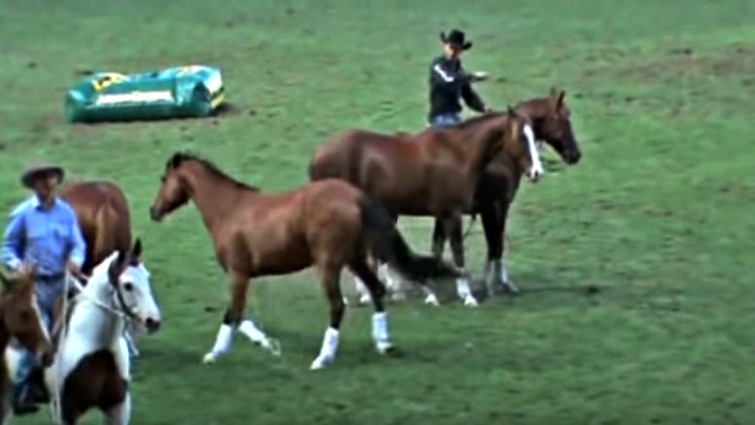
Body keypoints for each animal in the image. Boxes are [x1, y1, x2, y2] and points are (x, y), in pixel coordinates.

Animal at [44, 239, 160, 425]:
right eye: (128, 285)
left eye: (147, 277)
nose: (153, 321)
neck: (100, 348)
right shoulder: (67, 411)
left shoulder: (118, 407)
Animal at [148, 152, 460, 370]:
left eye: (164, 180)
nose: (154, 211)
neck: (229, 209)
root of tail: (354, 195)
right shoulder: (243, 276)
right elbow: (240, 314)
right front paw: (267, 343)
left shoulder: (238, 273)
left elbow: (231, 313)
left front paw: (215, 353)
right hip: (355, 259)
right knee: (376, 290)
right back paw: (384, 344)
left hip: (329, 265)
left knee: (337, 306)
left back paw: (323, 359)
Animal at [308, 106, 544, 307]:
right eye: (521, 137)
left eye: (534, 136)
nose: (537, 172)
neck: (458, 153)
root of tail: (318, 155)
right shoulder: (453, 213)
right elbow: (458, 251)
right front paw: (467, 295)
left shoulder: (445, 215)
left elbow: (439, 249)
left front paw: (433, 291)